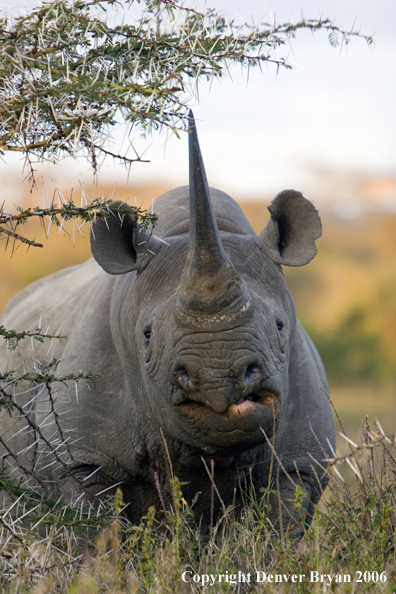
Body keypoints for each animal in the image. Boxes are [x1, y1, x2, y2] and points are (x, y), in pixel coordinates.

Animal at [0, 114, 334, 532]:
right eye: (146, 336)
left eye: (279, 325)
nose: (218, 382)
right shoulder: (82, 461)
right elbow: (95, 533)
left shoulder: (299, 463)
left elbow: (278, 529)